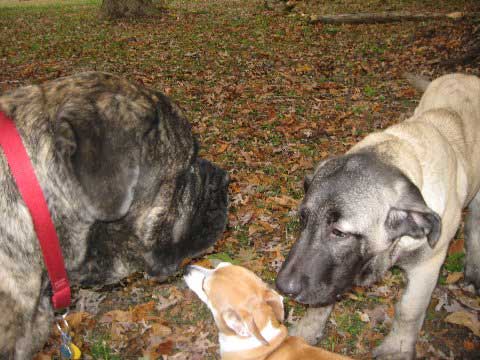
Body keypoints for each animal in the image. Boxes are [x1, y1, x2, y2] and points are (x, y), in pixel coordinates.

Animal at [276, 74, 480, 360]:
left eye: (339, 232)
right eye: (303, 220)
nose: (282, 287)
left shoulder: (427, 266)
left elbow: (409, 311)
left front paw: (397, 347)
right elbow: (322, 297)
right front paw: (308, 330)